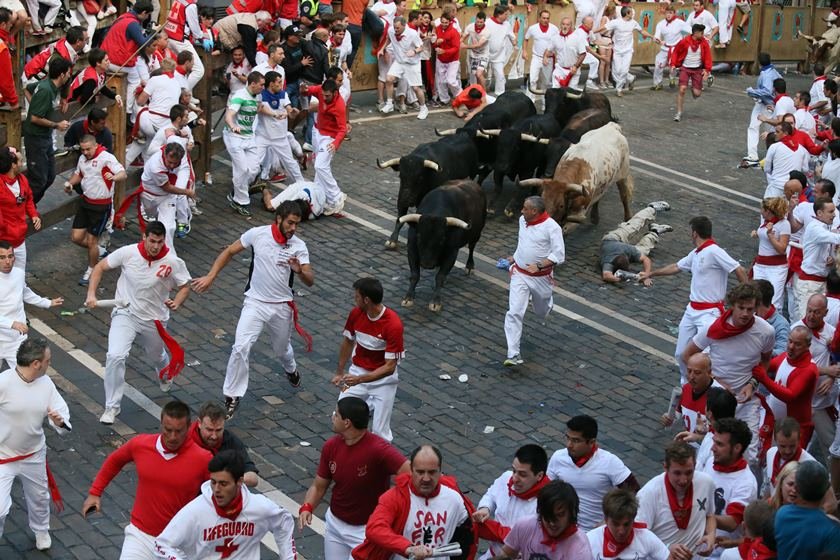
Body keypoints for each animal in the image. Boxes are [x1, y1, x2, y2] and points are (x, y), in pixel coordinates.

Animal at [400, 180, 486, 312]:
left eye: (442, 240)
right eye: (419, 236)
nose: (427, 264)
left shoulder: (452, 253)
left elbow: (440, 277)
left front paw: (435, 302)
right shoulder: (412, 249)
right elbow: (414, 275)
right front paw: (408, 298)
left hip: (477, 234)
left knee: (471, 247)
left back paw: (470, 266)